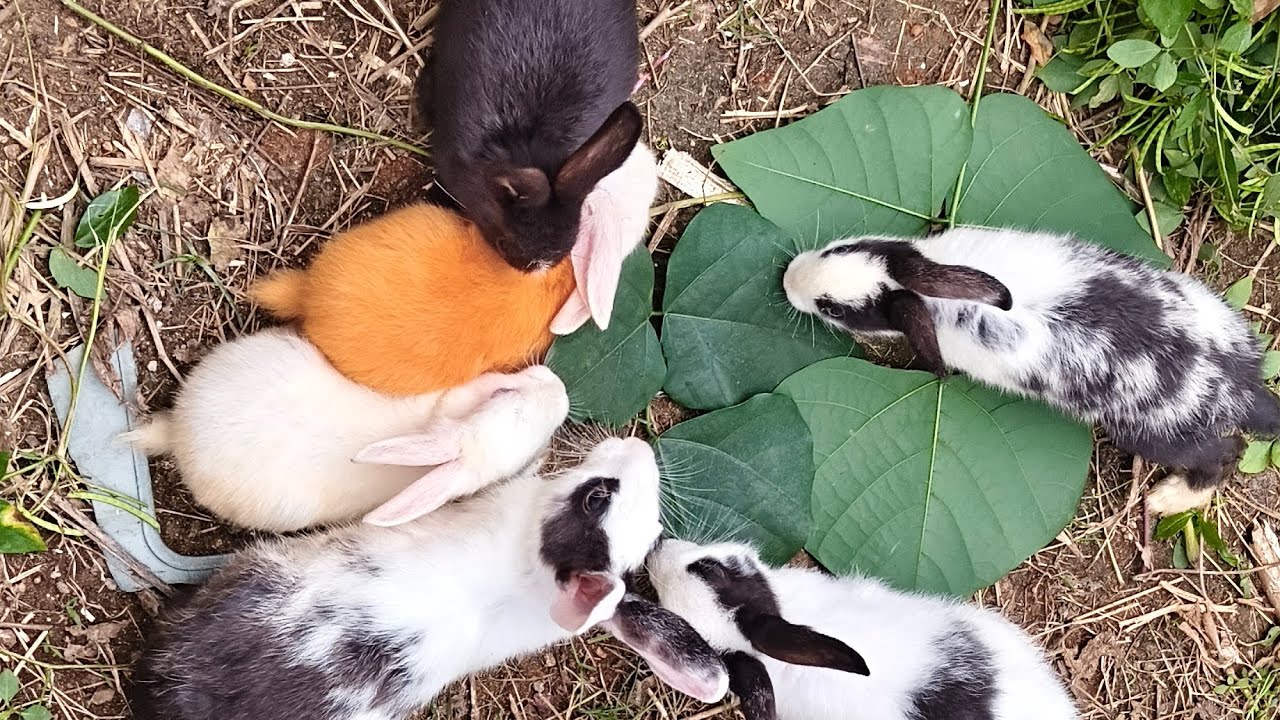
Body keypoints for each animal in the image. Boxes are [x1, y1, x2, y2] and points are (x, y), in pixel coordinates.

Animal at [783, 227, 1280, 515]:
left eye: (833, 309)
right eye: (841, 248)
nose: (788, 278)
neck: (932, 299)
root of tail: (1243, 386)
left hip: (1154, 435)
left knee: (1226, 453)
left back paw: (1166, 499)